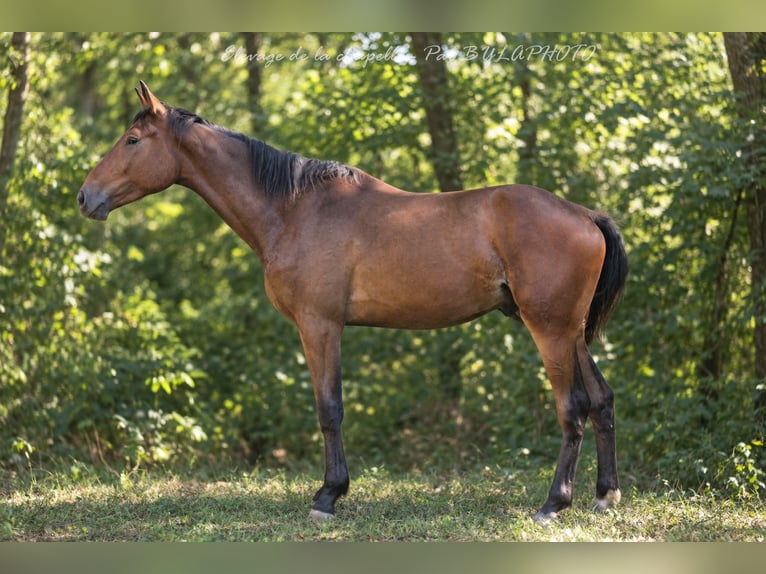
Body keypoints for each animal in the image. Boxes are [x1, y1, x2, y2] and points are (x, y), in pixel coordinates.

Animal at [79, 81, 628, 523]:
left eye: (132, 140)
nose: (86, 197)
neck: (293, 209)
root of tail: (584, 215)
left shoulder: (319, 325)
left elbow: (330, 409)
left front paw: (328, 496)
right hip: (572, 333)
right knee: (601, 400)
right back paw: (605, 496)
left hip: (549, 330)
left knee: (573, 408)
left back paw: (554, 503)